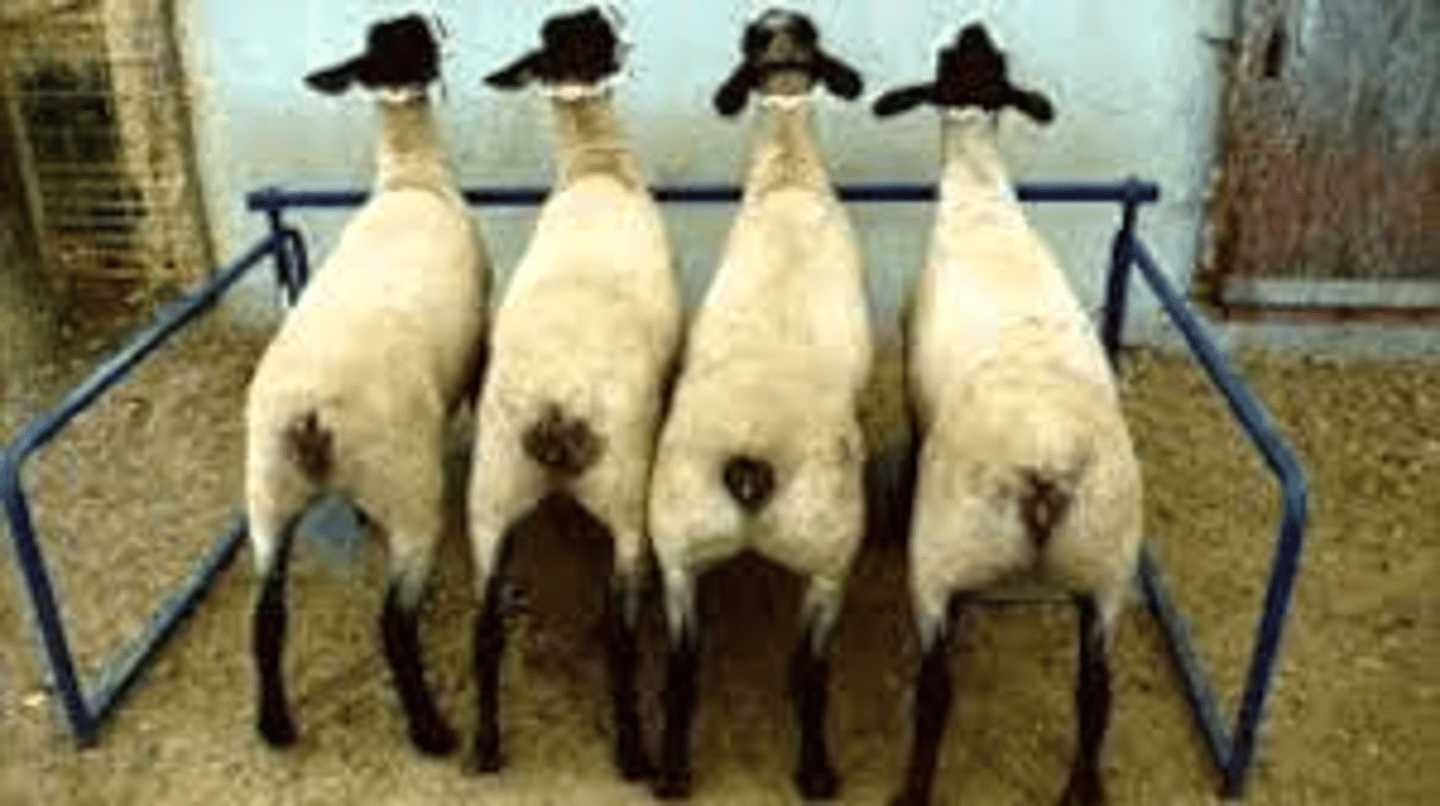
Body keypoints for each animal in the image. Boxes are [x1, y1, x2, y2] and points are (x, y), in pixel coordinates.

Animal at [243, 14, 490, 756]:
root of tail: (310, 415)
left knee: (266, 619)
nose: (439, 21)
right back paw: (431, 730)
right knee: (393, 625)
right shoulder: (478, 346)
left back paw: (275, 724)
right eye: (415, 34)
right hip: (408, 493)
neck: (411, 178)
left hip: (266, 494)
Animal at [464, 6, 681, 780]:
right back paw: (633, 753)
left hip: (491, 495)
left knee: (483, 631)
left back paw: (486, 747)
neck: (596, 167)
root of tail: (554, 411)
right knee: (617, 635)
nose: (619, 21)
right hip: (623, 500)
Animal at [645, 9, 870, 800]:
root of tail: (750, 460)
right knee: (808, 672)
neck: (788, 176)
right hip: (828, 554)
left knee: (682, 670)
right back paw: (817, 772)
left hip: (678, 552)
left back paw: (673, 774)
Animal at [871, 24, 1143, 806]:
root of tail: (1045, 467)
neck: (981, 199)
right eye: (979, 58)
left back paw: (913, 790)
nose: (974, 31)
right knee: (1097, 694)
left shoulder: (909, 369)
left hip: (944, 560)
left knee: (936, 692)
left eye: (945, 57)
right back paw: (1084, 790)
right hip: (1107, 570)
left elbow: (911, 433)